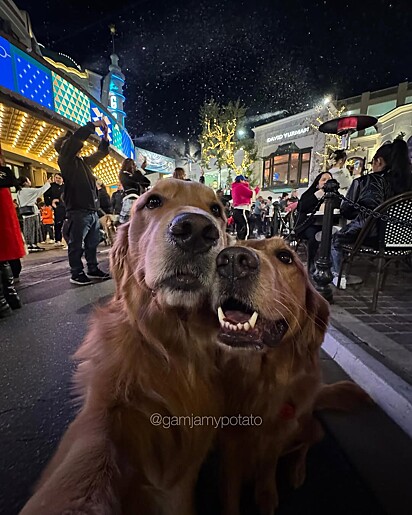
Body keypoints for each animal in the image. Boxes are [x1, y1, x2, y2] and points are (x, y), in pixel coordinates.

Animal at [214, 238, 368, 515]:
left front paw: (266, 496)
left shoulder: (277, 437)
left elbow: (268, 467)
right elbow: (230, 492)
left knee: (304, 447)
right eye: (233, 244)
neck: (261, 381)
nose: (231, 260)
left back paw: (297, 471)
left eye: (286, 257)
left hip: (311, 428)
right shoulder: (229, 445)